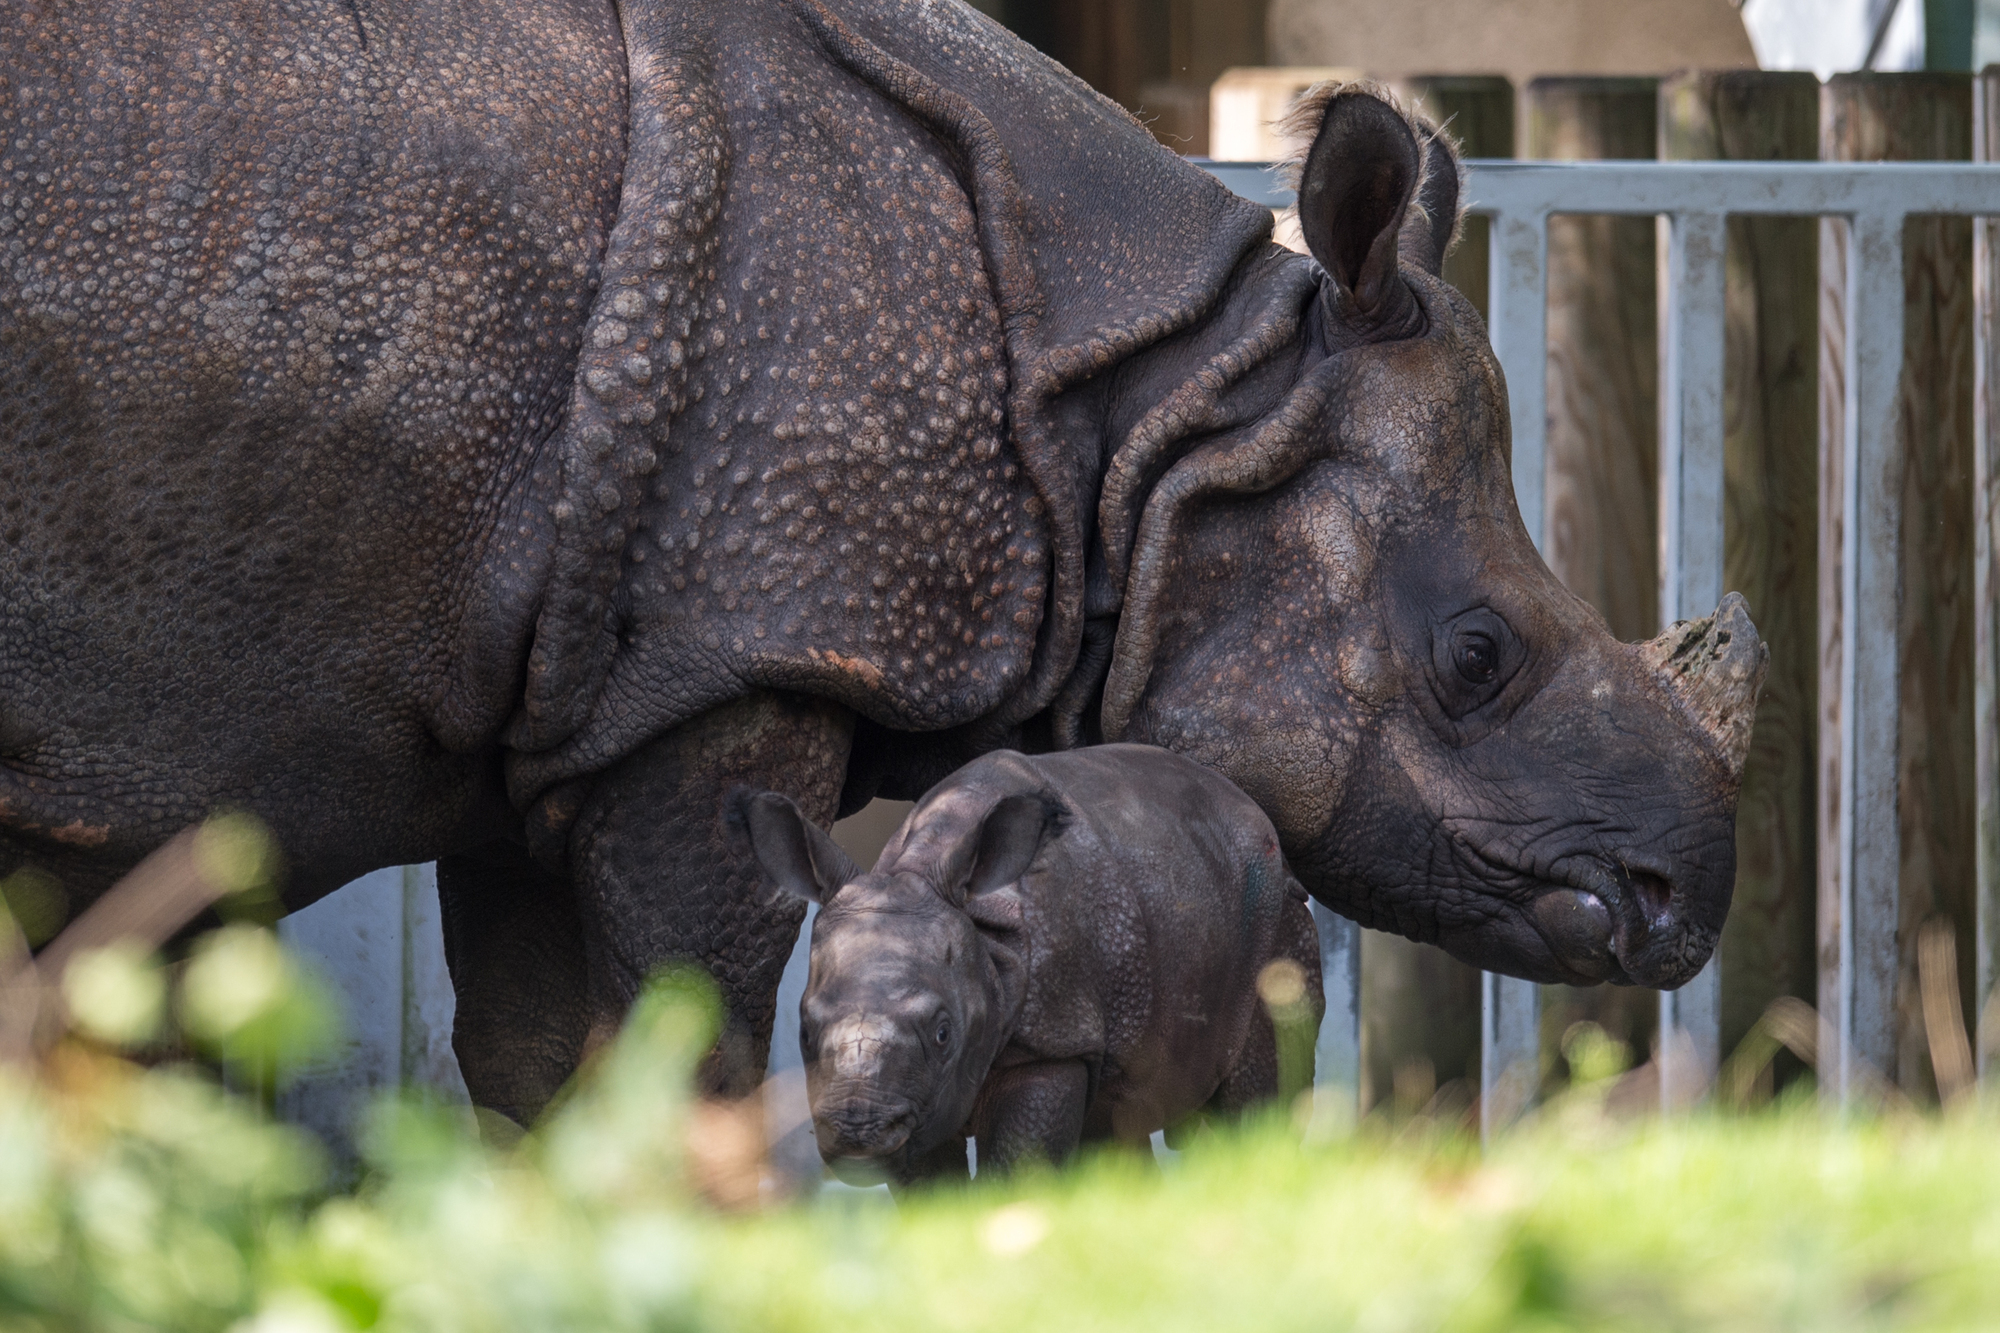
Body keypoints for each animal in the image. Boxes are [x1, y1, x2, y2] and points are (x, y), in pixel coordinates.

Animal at [736, 740, 1312, 1176]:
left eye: (943, 1032)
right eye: (803, 1032)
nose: (859, 1131)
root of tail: (1251, 809)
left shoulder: (1055, 1041)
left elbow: (1017, 1167)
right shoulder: (919, 1103)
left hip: (1276, 908)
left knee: (1255, 1093)